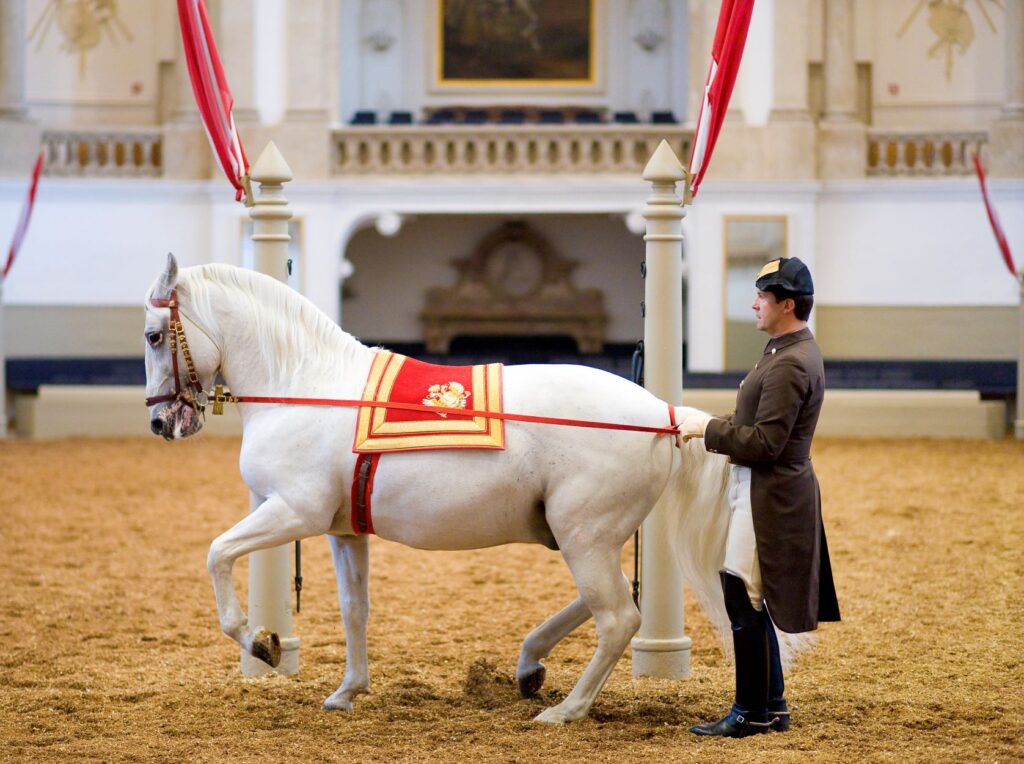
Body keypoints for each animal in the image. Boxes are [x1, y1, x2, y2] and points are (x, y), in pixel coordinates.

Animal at [144, 253, 737, 720]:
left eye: (153, 335)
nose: (160, 422)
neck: (307, 387)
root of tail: (661, 414)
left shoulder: (293, 512)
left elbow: (217, 554)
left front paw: (260, 643)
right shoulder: (343, 531)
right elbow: (354, 608)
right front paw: (347, 690)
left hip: (583, 536)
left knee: (618, 617)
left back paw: (565, 710)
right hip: (582, 535)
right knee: (609, 605)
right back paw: (530, 666)